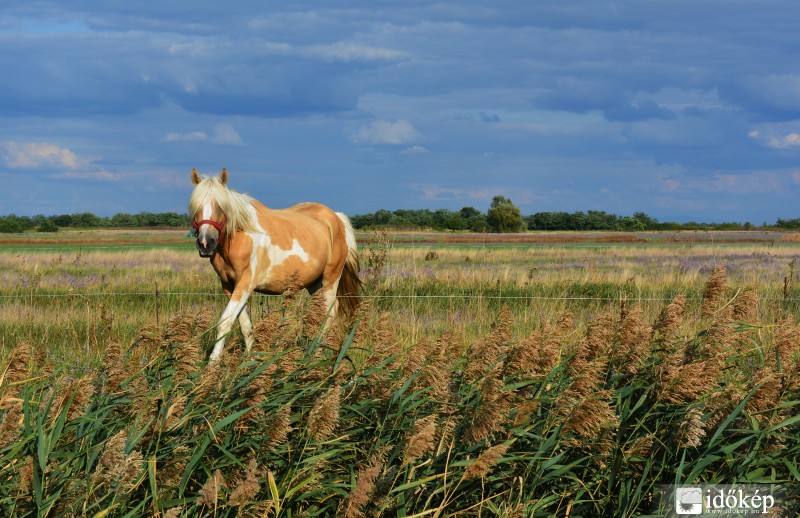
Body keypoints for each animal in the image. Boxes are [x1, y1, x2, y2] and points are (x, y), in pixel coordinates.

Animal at [188, 169, 360, 364]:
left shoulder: (245, 284)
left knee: (329, 314)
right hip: (315, 284)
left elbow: (225, 321)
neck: (241, 235)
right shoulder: (229, 285)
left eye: (221, 206)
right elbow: (244, 325)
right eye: (196, 207)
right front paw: (249, 360)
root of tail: (337, 218)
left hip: (330, 279)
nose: (205, 243)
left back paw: (316, 356)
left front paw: (212, 364)